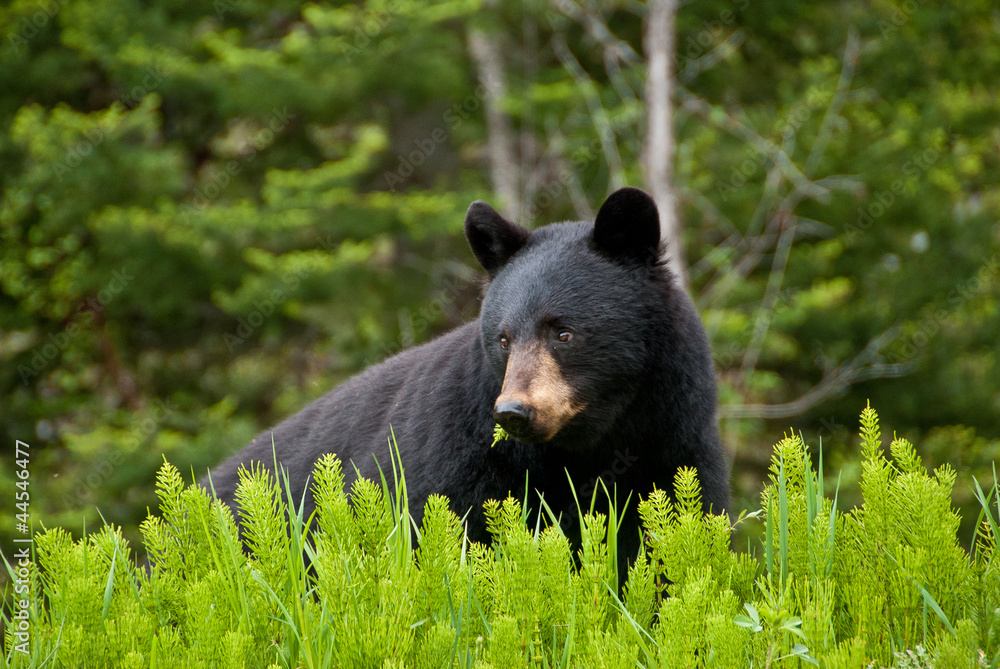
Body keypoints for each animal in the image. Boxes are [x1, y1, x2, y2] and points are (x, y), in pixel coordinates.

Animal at [206, 186, 730, 578]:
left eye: (563, 331)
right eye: (503, 338)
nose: (513, 411)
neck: (592, 446)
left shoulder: (675, 445)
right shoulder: (453, 463)